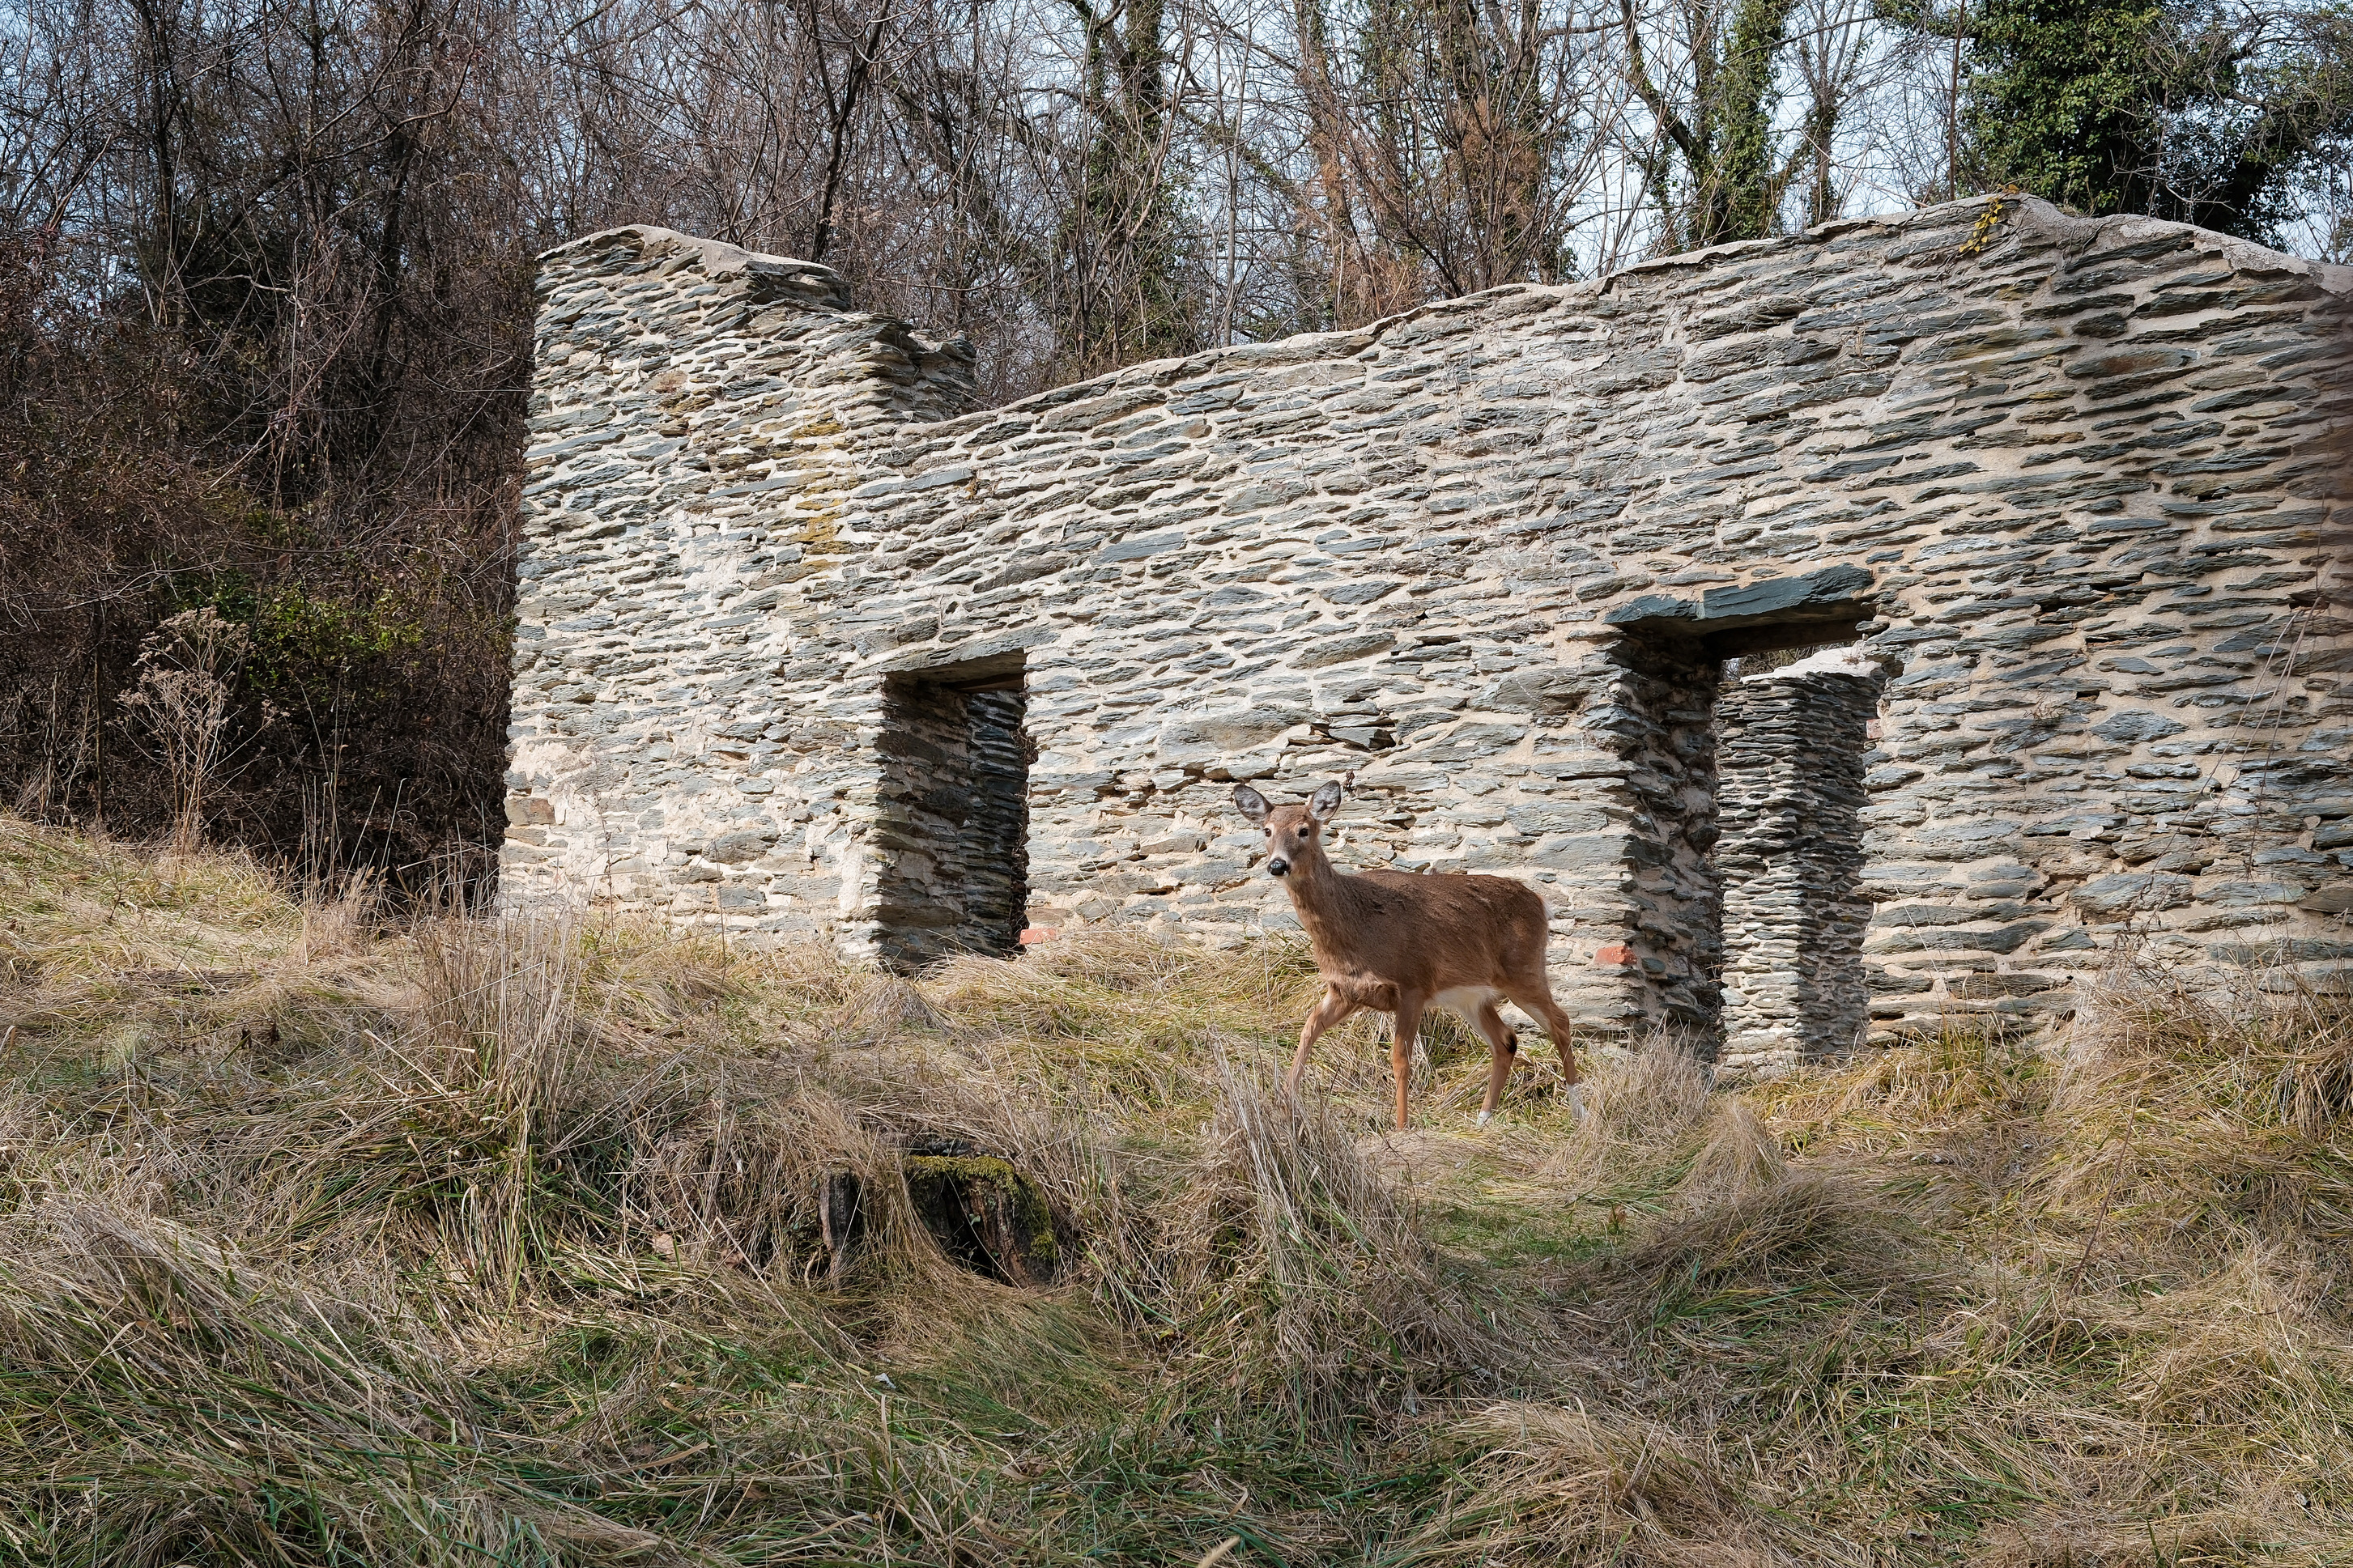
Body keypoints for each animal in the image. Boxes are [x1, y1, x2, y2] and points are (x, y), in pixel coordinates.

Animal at [1232, 777, 1583, 1132]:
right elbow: (1308, 1029)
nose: (1278, 865)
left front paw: (1401, 1127)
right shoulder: (1345, 990)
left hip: (1524, 970)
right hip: (1471, 996)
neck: (1358, 927)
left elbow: (1400, 1059)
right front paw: (1284, 1101)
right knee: (1506, 1040)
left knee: (1560, 1022)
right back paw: (1483, 1119)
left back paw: (1577, 1109)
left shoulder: (1413, 983)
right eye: (1267, 830)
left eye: (1304, 830)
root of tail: (1541, 903)